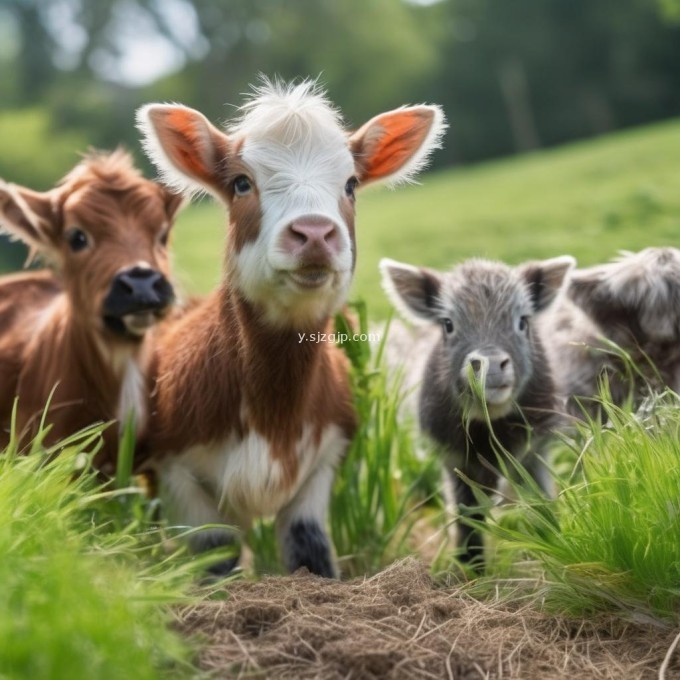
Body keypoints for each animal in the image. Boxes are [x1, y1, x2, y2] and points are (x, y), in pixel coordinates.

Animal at [136, 81, 448, 580]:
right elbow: (215, 555)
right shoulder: (174, 471)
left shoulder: (325, 458)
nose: (315, 233)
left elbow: (310, 549)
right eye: (241, 183)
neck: (273, 414)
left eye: (351, 184)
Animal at [382, 254, 572, 564]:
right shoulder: (453, 458)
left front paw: (553, 545)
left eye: (523, 321)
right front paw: (471, 567)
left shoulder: (534, 450)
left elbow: (540, 502)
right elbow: (465, 519)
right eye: (447, 324)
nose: (491, 363)